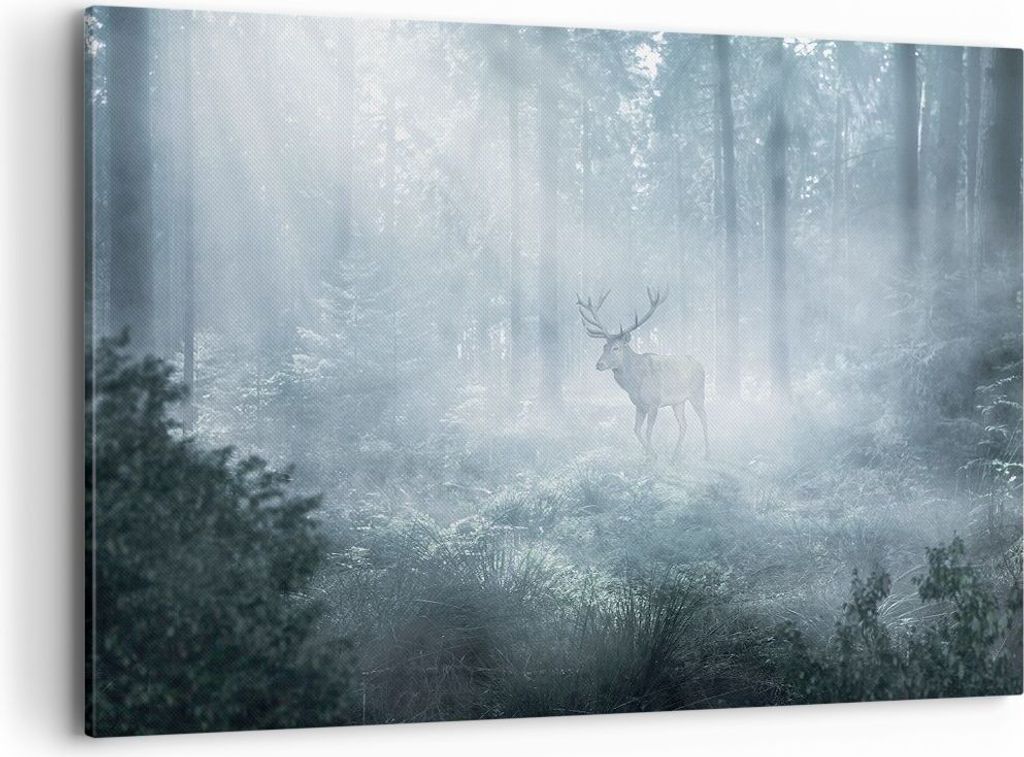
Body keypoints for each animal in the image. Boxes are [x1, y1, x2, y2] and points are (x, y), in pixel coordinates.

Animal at [577, 287, 709, 462]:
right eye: (604, 346)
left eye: (616, 347)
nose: (599, 364)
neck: (634, 383)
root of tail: (701, 365)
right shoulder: (639, 405)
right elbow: (636, 430)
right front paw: (648, 455)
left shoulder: (654, 403)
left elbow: (647, 431)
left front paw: (653, 455)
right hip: (678, 402)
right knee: (684, 424)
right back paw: (675, 456)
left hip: (697, 393)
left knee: (704, 418)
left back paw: (707, 454)